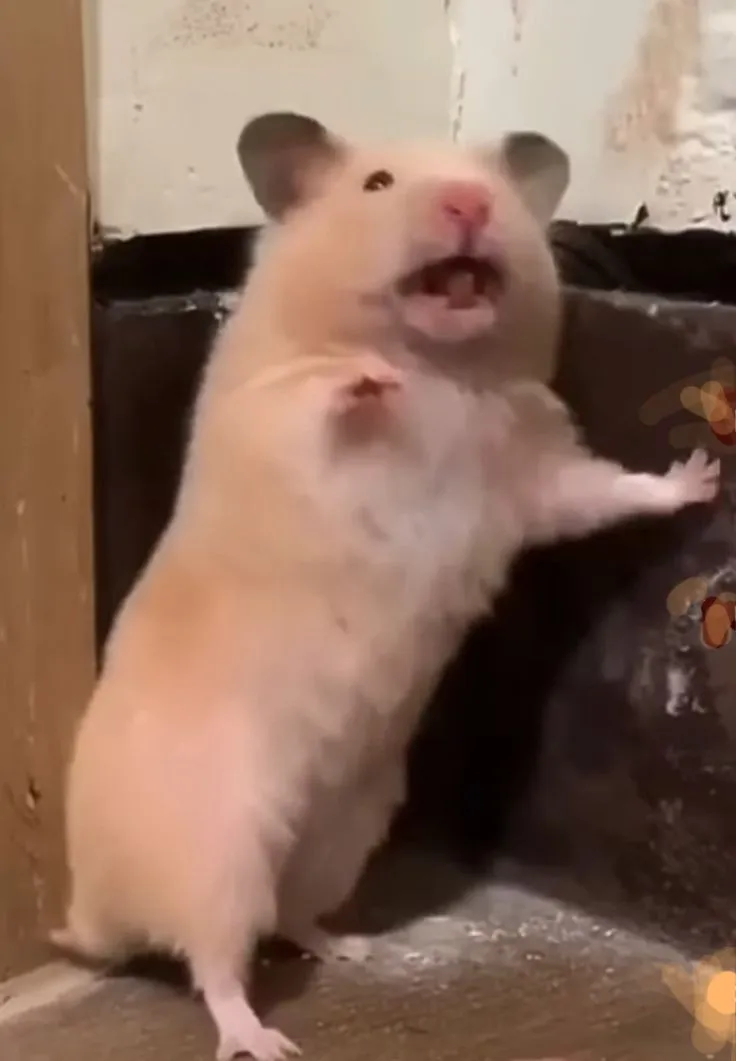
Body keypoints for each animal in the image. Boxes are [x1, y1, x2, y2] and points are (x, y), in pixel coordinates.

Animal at [52, 112, 720, 1061]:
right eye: (377, 185)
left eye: (496, 186)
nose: (471, 202)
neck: (444, 368)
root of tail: (92, 908)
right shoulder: (264, 416)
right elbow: (316, 402)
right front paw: (367, 380)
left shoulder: (534, 475)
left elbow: (606, 490)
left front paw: (699, 477)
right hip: (217, 847)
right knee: (214, 962)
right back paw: (262, 1038)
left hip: (347, 830)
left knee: (285, 917)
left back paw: (348, 947)